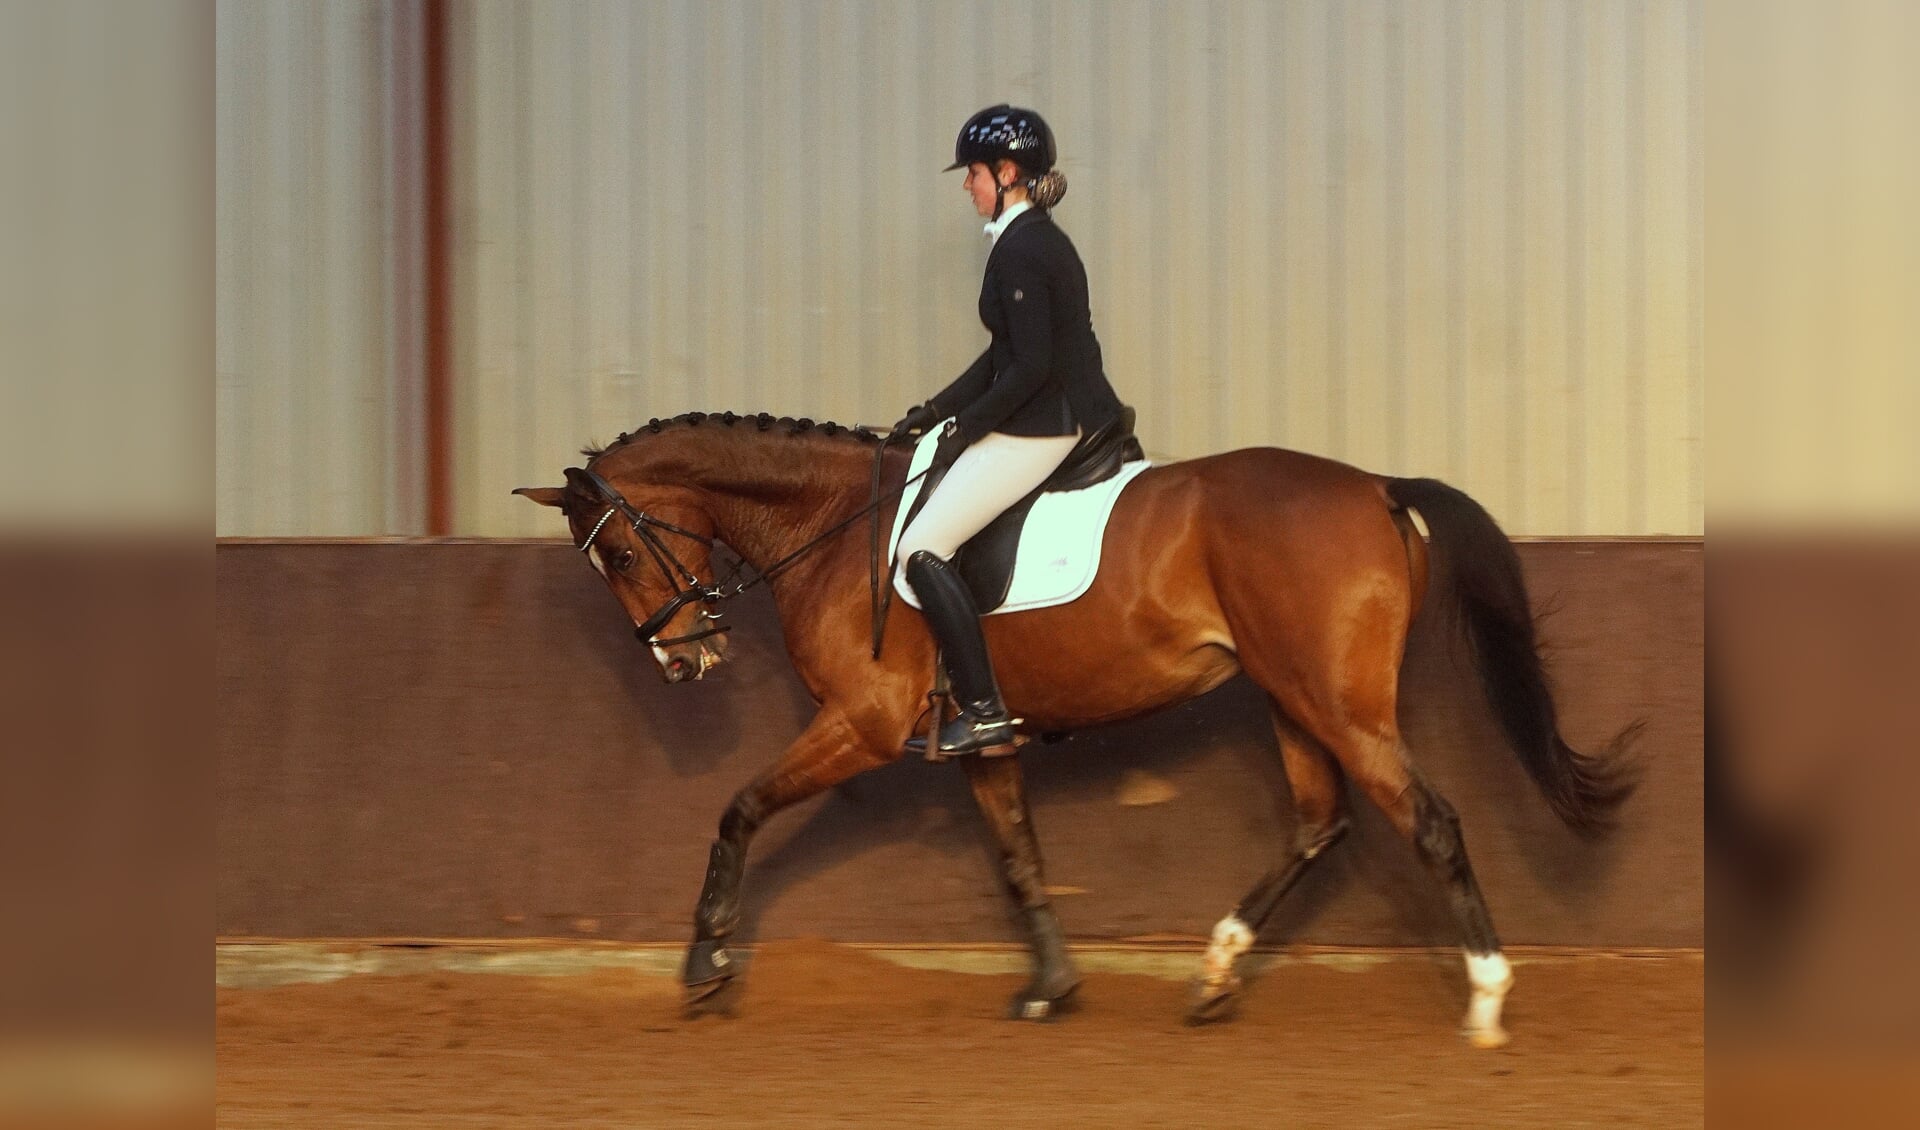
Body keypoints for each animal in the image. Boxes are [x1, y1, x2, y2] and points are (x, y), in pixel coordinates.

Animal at [514, 410, 1635, 1043]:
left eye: (621, 556)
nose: (682, 657)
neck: (833, 529)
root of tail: (1373, 485)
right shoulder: (982, 738)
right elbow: (1020, 856)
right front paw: (1051, 988)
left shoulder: (864, 723)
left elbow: (738, 808)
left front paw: (703, 968)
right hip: (1293, 697)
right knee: (1322, 822)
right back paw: (1214, 974)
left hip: (1334, 700)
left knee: (1429, 819)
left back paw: (1485, 999)